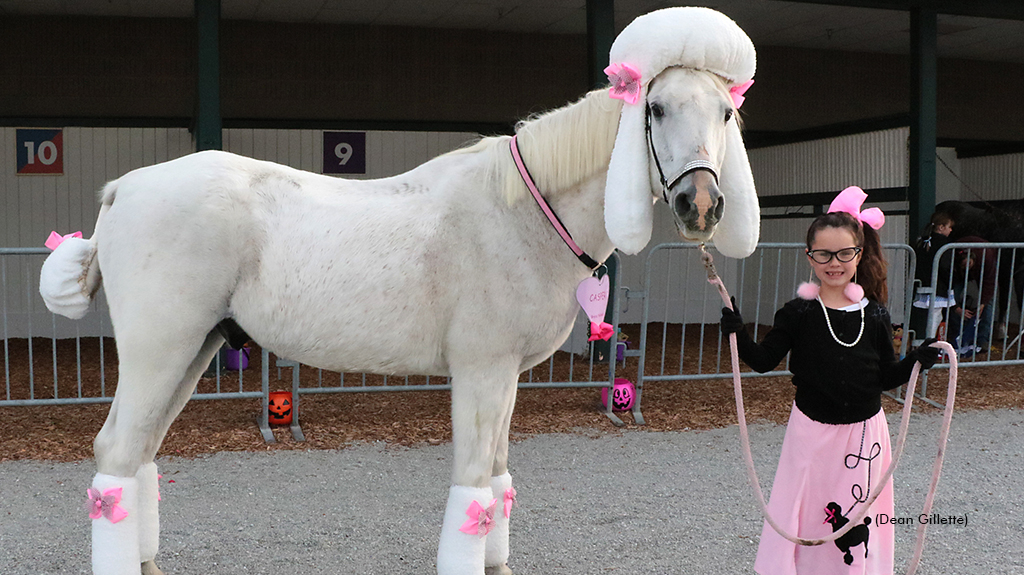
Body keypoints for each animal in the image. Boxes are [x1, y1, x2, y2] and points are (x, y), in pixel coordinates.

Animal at [41, 65, 761, 568]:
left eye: (727, 111)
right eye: (657, 108)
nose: (701, 205)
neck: (520, 215)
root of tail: (124, 189)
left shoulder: (506, 377)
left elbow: (497, 477)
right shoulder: (481, 372)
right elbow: (474, 484)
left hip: (193, 351)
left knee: (139, 457)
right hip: (159, 350)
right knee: (116, 452)